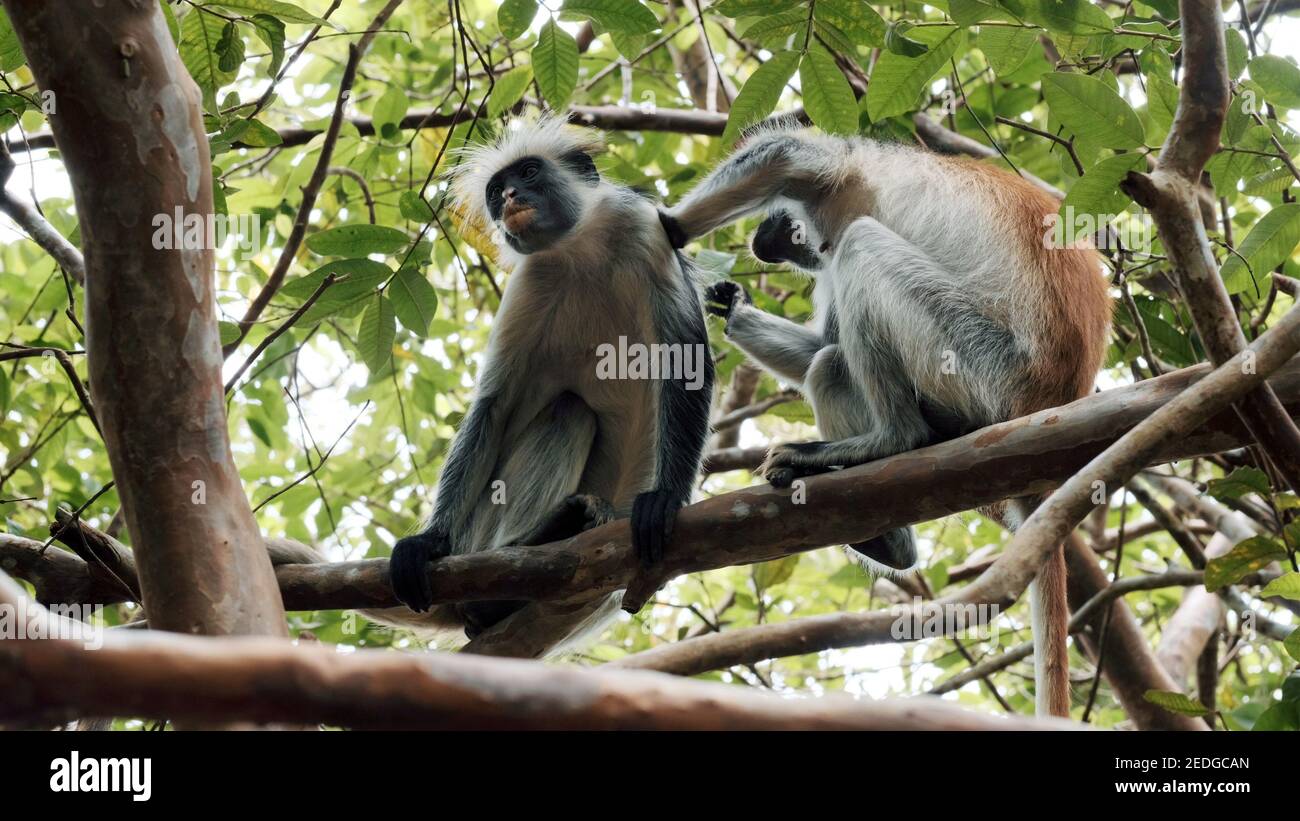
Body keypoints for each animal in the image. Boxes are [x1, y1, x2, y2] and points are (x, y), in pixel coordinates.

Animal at [384, 115, 717, 657]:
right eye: (496, 191)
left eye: (528, 173)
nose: (510, 196)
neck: (580, 252)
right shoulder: (533, 278)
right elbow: (493, 408)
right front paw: (428, 543)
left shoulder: (639, 228)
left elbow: (686, 361)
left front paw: (666, 498)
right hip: (477, 532)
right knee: (569, 409)